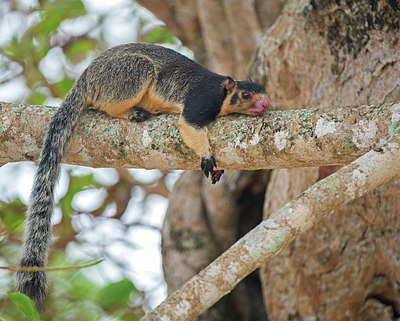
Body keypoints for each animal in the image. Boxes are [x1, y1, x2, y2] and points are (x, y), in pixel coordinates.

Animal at [14, 43, 268, 308]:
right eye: (246, 95)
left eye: (264, 93)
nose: (265, 105)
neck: (222, 93)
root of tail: (85, 78)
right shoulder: (202, 99)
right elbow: (188, 124)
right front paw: (207, 155)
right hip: (124, 76)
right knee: (112, 100)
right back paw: (131, 113)